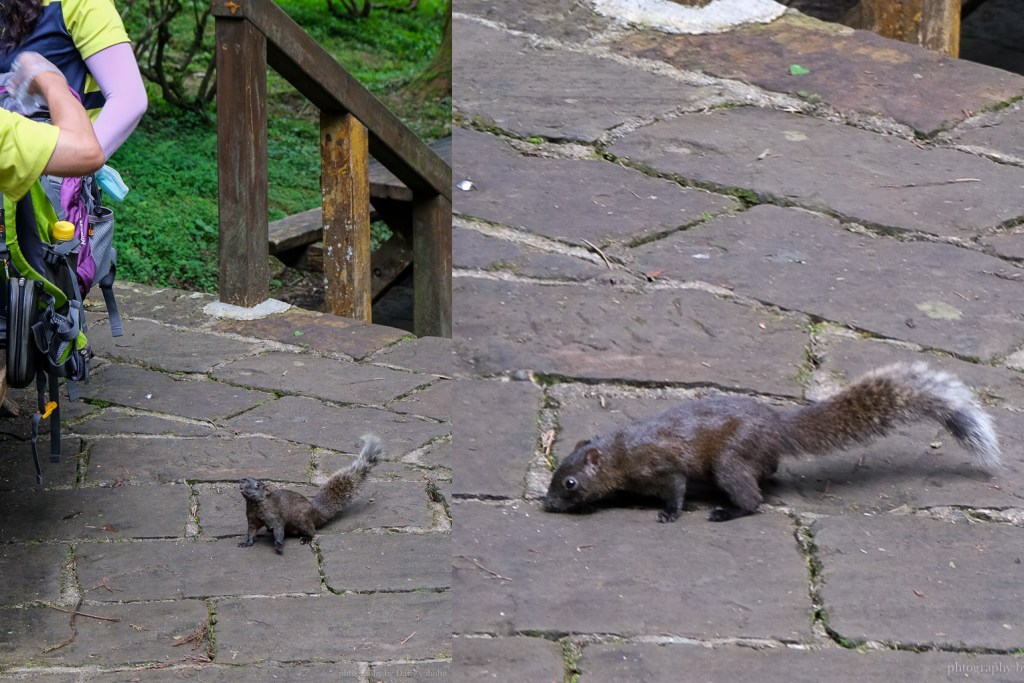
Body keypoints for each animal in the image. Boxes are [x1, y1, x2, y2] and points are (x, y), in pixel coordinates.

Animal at [237, 436, 385, 552]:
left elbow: (279, 529)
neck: (256, 505)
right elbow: (251, 532)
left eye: (257, 485)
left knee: (312, 532)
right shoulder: (252, 520)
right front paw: (246, 543)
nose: (241, 480)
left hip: (302, 520)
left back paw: (305, 538)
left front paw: (278, 546)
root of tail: (315, 513)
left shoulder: (274, 516)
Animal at [544, 362, 999, 524]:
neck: (622, 451)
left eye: (569, 483)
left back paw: (725, 512)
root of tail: (777, 426)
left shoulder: (662, 465)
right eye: (554, 472)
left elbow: (675, 489)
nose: (546, 504)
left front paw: (669, 514)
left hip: (729, 461)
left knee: (753, 501)